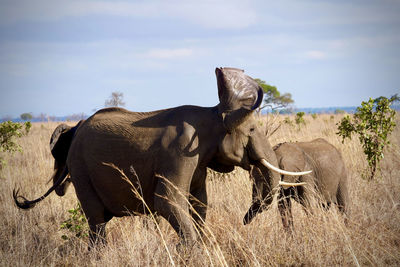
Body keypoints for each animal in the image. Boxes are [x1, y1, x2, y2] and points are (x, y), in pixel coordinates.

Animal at [12, 68, 306, 248]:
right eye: (253, 130)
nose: (244, 221)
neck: (213, 113)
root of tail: (76, 127)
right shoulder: (180, 151)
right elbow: (167, 200)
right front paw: (188, 249)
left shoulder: (198, 159)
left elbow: (200, 203)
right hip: (81, 168)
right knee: (96, 219)